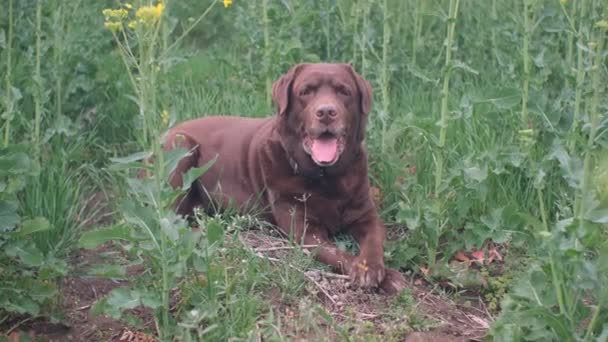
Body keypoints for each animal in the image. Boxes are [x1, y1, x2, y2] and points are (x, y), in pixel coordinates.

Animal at [164, 62, 406, 292]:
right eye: (305, 92)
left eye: (344, 91)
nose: (326, 112)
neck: (326, 178)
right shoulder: (303, 229)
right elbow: (335, 253)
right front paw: (380, 274)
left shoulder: (367, 214)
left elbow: (374, 241)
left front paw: (373, 269)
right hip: (181, 146)